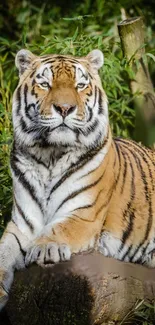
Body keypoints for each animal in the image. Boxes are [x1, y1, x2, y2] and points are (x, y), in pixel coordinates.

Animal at [0, 47, 155, 308]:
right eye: (45, 83)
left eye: (80, 85)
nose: (64, 108)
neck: (49, 156)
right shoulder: (21, 225)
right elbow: (2, 253)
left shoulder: (83, 215)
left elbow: (59, 228)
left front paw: (44, 248)